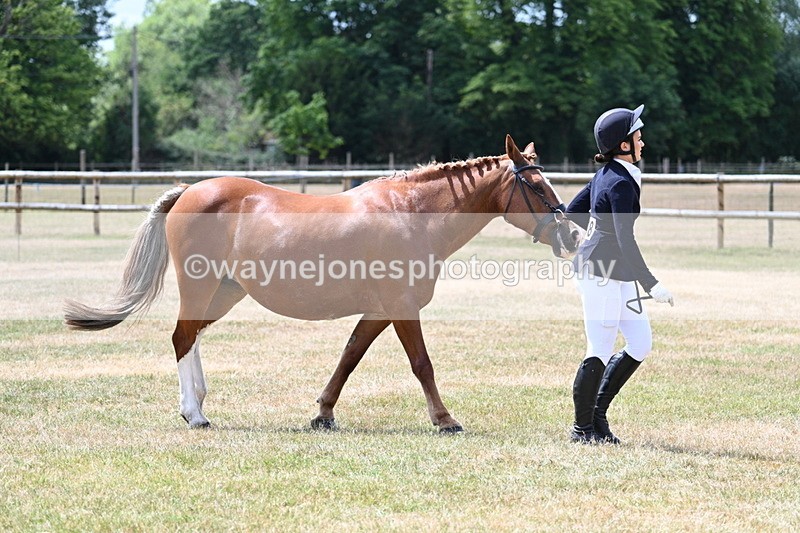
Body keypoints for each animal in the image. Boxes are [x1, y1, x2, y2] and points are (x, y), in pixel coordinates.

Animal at [64, 135, 583, 433]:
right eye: (536, 186)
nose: (573, 234)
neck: (410, 213)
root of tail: (190, 190)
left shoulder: (380, 310)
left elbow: (349, 357)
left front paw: (323, 414)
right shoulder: (402, 307)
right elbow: (422, 365)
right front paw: (445, 420)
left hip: (225, 292)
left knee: (189, 337)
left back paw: (195, 405)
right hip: (202, 286)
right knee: (181, 336)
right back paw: (195, 413)